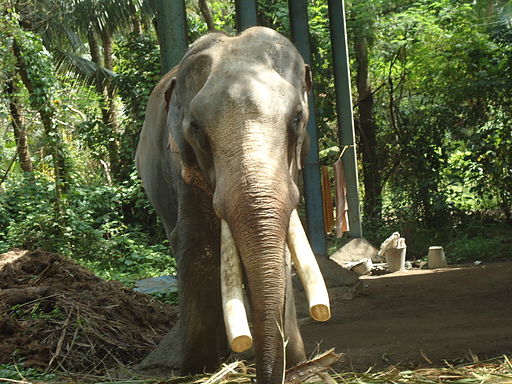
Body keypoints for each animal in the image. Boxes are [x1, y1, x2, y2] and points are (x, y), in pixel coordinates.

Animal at [136, 26, 328, 384]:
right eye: (196, 128)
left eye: (297, 118)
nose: (267, 376)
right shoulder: (181, 166)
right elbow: (197, 245)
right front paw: (198, 368)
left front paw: (294, 361)